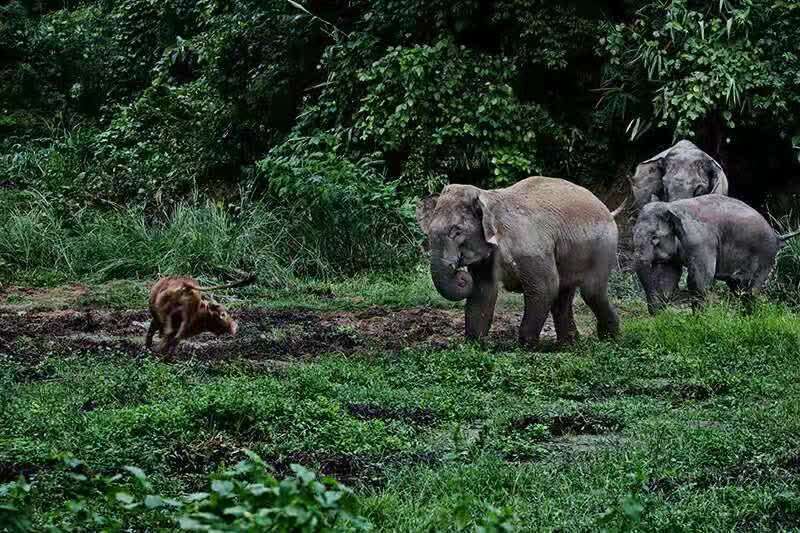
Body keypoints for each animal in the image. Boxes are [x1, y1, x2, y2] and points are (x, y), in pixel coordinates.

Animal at [416, 177, 620, 348]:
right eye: (429, 231)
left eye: (456, 231)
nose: (461, 275)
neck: (486, 196)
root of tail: (607, 209)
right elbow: (483, 290)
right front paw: (474, 344)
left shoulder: (531, 246)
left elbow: (545, 286)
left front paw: (527, 347)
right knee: (563, 297)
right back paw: (569, 344)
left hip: (604, 247)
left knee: (592, 291)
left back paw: (609, 339)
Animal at [632, 194, 800, 312]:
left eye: (654, 237)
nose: (656, 313)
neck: (671, 206)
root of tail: (777, 236)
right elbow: (669, 276)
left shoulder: (701, 242)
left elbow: (699, 279)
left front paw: (699, 320)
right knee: (738, 287)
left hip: (765, 255)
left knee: (750, 290)